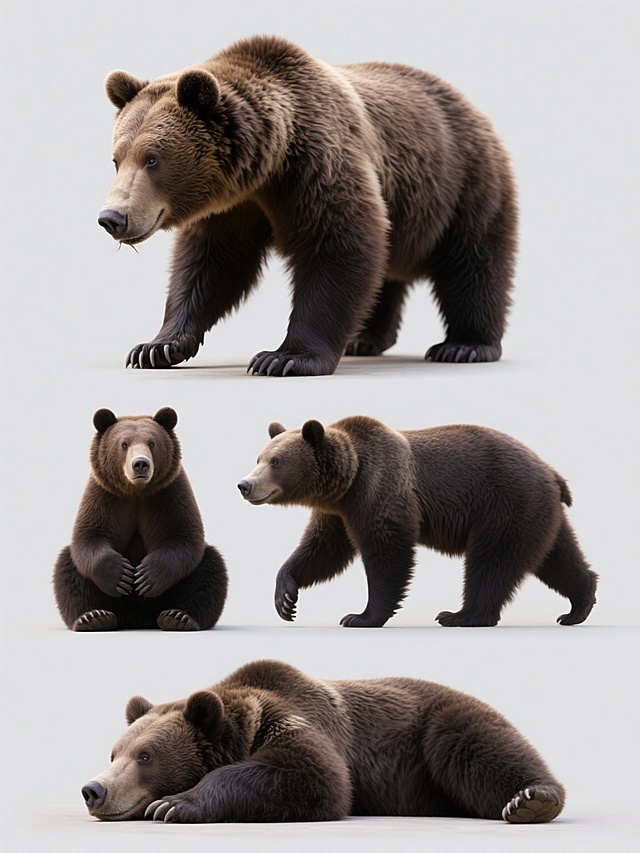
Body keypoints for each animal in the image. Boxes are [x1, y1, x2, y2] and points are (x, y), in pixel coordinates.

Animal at [53, 407, 228, 631]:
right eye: (124, 444)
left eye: (152, 443)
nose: (140, 464)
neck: (136, 491)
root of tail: (139, 620)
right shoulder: (105, 496)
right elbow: (89, 536)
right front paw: (121, 574)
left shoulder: (168, 494)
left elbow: (184, 537)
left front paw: (147, 576)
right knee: (68, 568)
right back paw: (93, 617)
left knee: (210, 568)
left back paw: (179, 617)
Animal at [81, 660, 565, 824]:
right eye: (114, 752)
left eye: (146, 756)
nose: (94, 789)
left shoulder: (298, 718)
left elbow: (317, 776)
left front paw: (174, 804)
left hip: (438, 726)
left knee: (478, 748)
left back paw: (531, 799)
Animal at [98, 35, 517, 376]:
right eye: (117, 158)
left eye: (152, 159)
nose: (111, 218)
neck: (269, 164)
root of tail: (469, 103)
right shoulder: (234, 207)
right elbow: (210, 264)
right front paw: (155, 347)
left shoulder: (318, 165)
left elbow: (337, 248)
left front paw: (284, 358)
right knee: (386, 267)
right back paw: (364, 338)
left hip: (463, 182)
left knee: (473, 261)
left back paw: (464, 345)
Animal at [238, 417, 597, 628]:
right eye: (259, 458)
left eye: (276, 461)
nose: (244, 485)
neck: (348, 479)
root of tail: (551, 472)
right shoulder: (337, 512)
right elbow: (323, 550)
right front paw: (285, 599)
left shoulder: (379, 488)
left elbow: (387, 553)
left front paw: (360, 616)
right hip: (539, 513)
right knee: (557, 558)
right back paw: (577, 607)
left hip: (506, 503)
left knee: (492, 562)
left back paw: (462, 615)